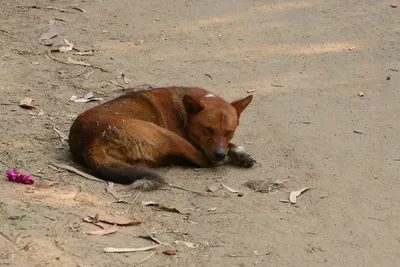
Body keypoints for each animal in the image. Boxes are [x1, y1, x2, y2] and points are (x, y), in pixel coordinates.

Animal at [68, 87, 256, 191]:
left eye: (229, 132)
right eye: (208, 129)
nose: (219, 154)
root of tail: (90, 140)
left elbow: (229, 145)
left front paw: (239, 153)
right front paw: (236, 154)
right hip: (167, 136)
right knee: (205, 162)